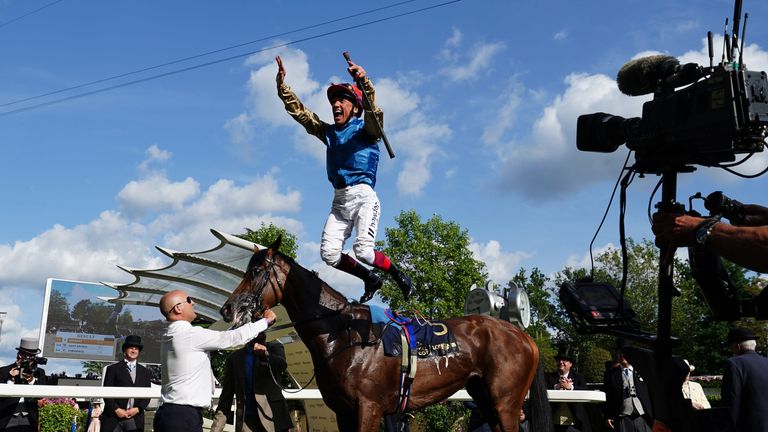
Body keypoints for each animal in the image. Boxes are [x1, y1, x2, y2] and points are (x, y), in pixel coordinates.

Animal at [219, 238, 548, 430]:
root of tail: (525, 337)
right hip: (486, 401)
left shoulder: (369, 408)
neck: (342, 335)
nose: (228, 308)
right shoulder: (344, 412)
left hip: (506, 403)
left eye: (256, 272)